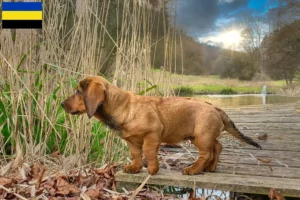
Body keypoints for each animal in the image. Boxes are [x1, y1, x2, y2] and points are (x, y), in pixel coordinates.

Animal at [61, 76, 260, 174]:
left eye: (78, 92)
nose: (62, 104)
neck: (124, 107)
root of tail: (216, 107)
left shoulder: (152, 136)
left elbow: (148, 153)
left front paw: (152, 169)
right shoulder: (132, 141)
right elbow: (136, 154)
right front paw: (134, 168)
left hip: (201, 137)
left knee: (207, 153)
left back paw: (194, 169)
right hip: (200, 136)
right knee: (218, 147)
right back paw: (210, 168)